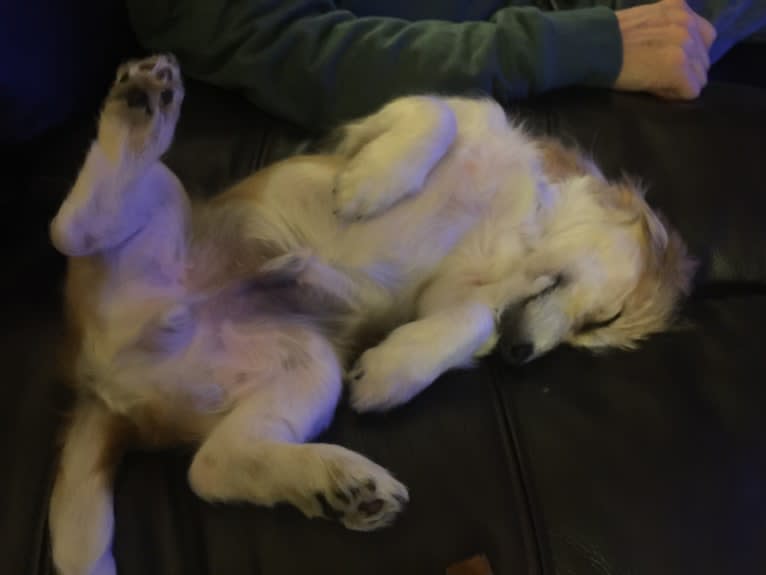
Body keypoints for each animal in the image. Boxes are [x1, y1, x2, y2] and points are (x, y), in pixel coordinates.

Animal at [46, 55, 696, 575]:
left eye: (591, 336)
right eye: (604, 319)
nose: (520, 358)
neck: (524, 225)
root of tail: (99, 382)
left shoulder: (450, 296)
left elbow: (473, 320)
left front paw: (390, 372)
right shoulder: (398, 121)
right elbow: (435, 116)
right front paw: (372, 186)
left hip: (308, 370)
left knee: (212, 467)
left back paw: (340, 477)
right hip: (157, 203)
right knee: (69, 229)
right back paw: (141, 107)